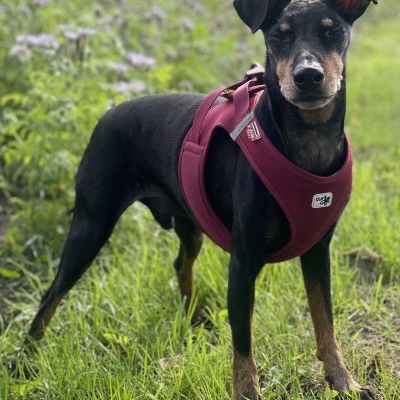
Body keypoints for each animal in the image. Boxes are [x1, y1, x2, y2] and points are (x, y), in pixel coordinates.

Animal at [26, 0, 376, 400]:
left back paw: (194, 320)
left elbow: (325, 325)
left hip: (188, 221)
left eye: (333, 31)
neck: (307, 139)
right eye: (278, 35)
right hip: (91, 223)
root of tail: (108, 113)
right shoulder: (243, 261)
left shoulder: (318, 250)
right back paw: (28, 361)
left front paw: (344, 382)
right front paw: (249, 393)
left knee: (181, 263)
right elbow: (243, 347)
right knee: (51, 294)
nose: (308, 76)